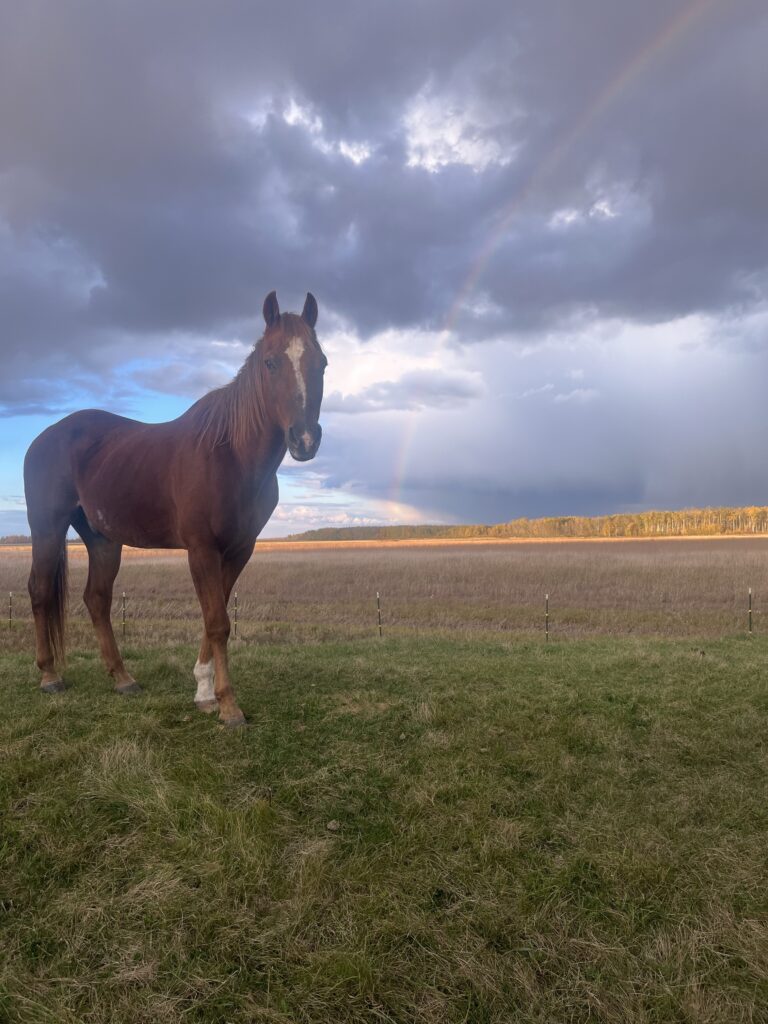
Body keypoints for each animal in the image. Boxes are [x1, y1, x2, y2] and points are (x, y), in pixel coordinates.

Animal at [23, 291, 326, 727]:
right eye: (271, 362)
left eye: (322, 363)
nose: (304, 439)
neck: (231, 455)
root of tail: (45, 437)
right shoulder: (201, 549)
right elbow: (217, 622)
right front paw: (228, 706)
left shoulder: (238, 549)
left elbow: (214, 617)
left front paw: (204, 692)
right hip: (46, 526)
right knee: (40, 590)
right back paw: (49, 675)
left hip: (103, 539)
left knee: (97, 599)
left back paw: (123, 678)